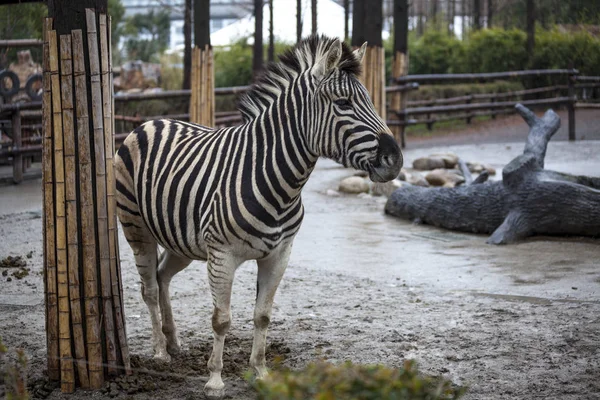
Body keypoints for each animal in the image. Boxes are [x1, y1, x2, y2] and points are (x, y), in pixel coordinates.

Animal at [113, 35, 404, 396]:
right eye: (343, 103)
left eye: (369, 100)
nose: (395, 159)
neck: (279, 183)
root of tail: (151, 122)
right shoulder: (222, 255)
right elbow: (221, 319)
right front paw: (215, 379)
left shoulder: (279, 254)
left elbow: (263, 315)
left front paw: (262, 372)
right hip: (137, 228)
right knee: (149, 288)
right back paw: (159, 352)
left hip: (181, 240)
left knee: (162, 276)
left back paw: (174, 342)